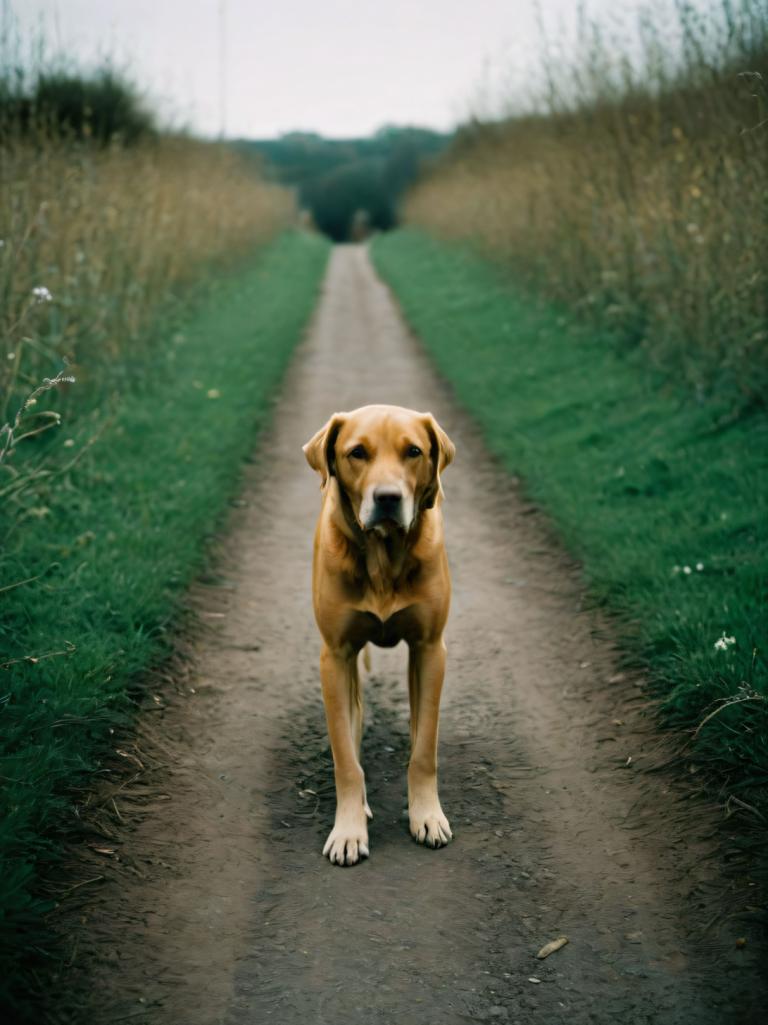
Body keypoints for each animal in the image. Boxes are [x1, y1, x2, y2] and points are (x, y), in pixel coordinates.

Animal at [301, 401, 455, 865]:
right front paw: (349, 829)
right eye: (357, 453)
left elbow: (425, 749)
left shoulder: (430, 650)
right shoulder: (335, 656)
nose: (387, 498)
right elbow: (345, 759)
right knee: (351, 722)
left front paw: (427, 814)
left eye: (413, 451)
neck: (384, 555)